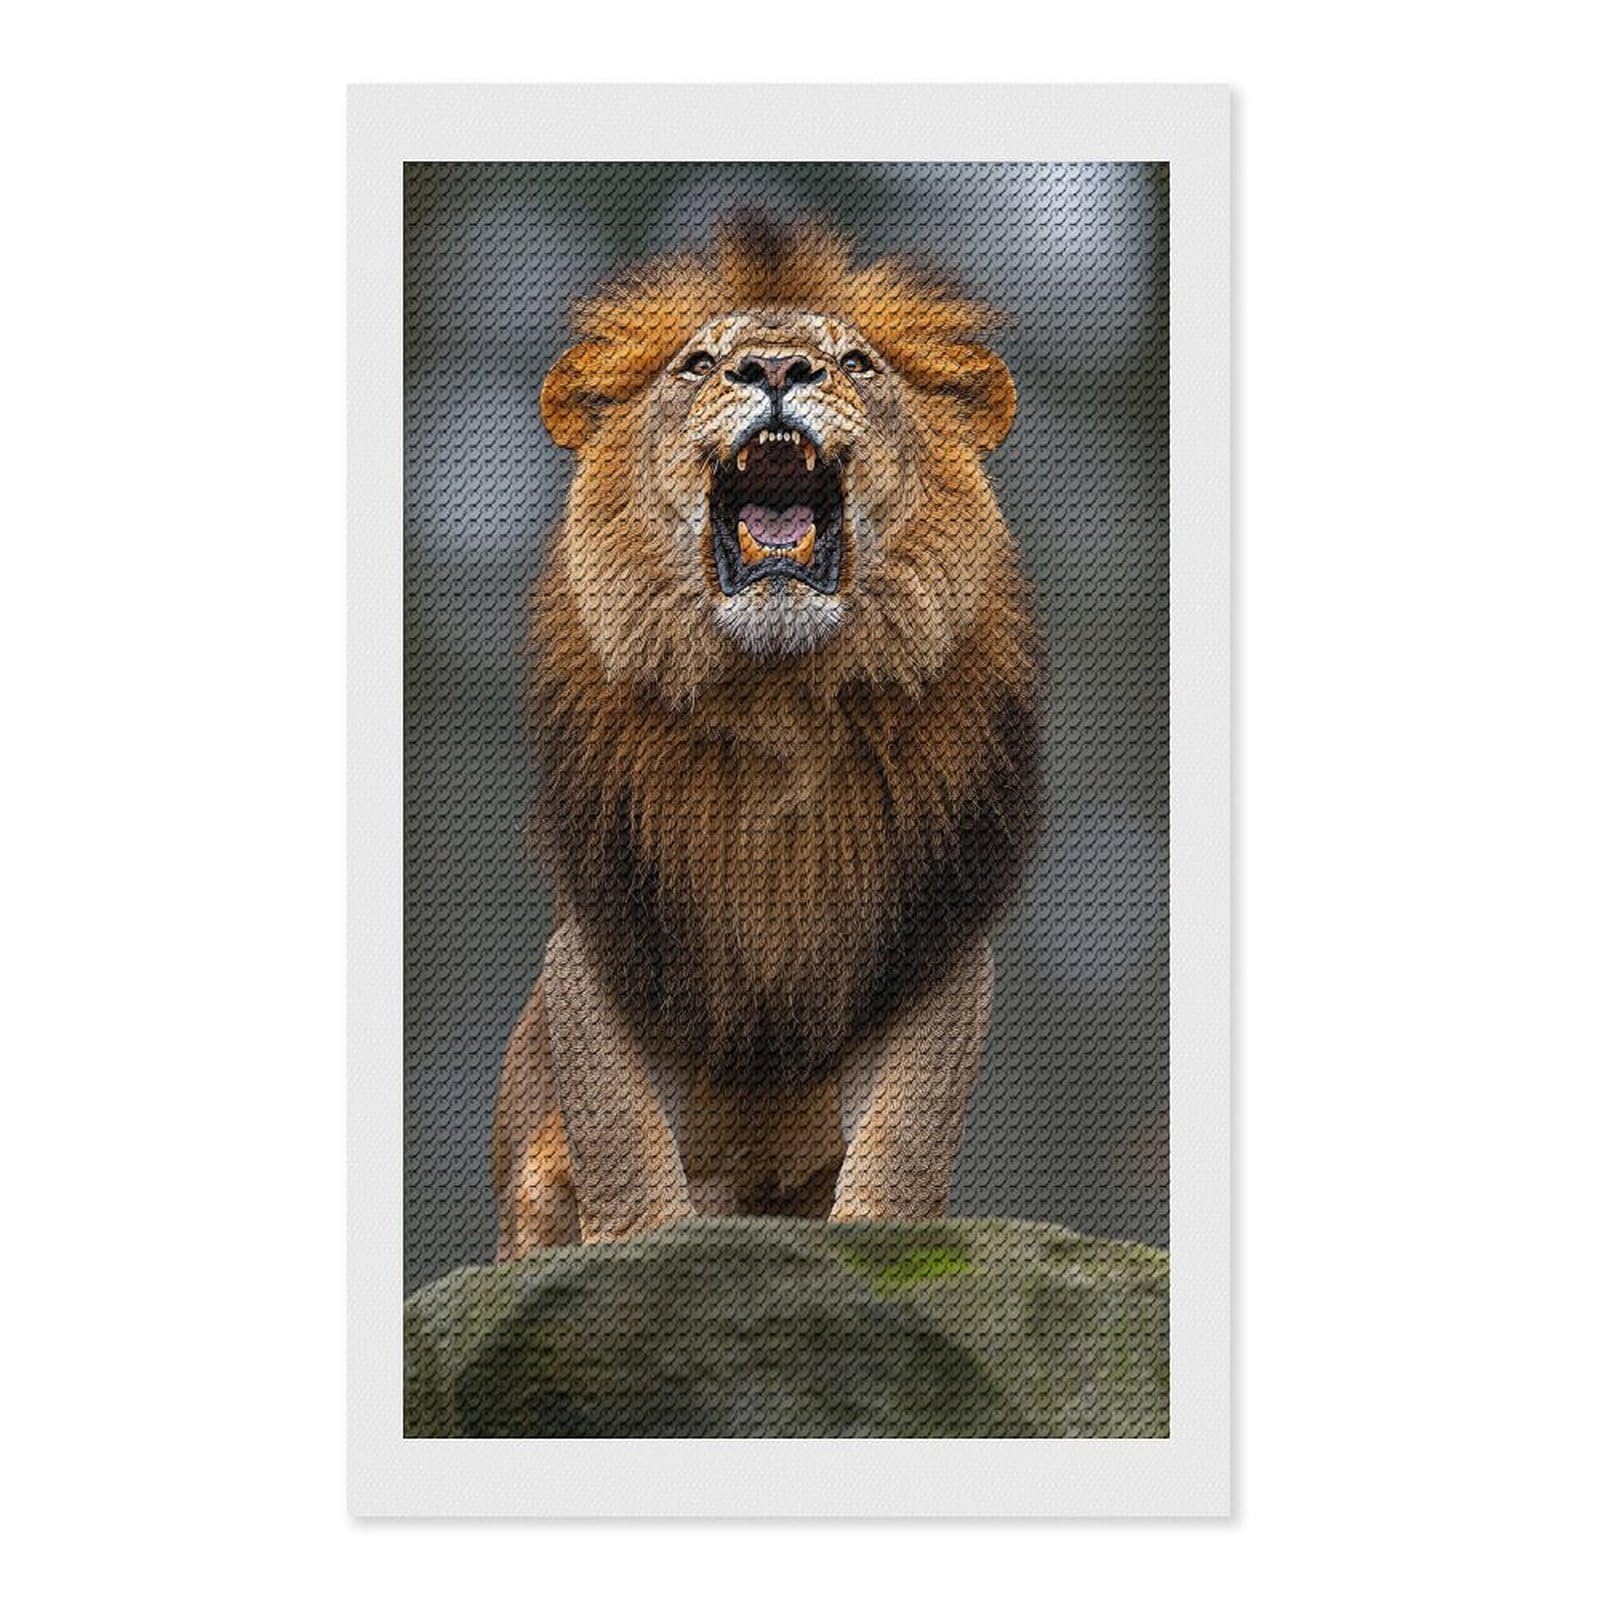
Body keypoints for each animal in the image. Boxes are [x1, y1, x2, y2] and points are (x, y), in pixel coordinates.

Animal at [490, 216, 1043, 1251]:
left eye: (857, 362)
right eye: (699, 363)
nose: (777, 367)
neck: (777, 696)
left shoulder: (934, 929)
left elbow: (907, 1121)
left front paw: (882, 1241)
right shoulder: (609, 927)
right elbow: (619, 1120)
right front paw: (644, 1245)